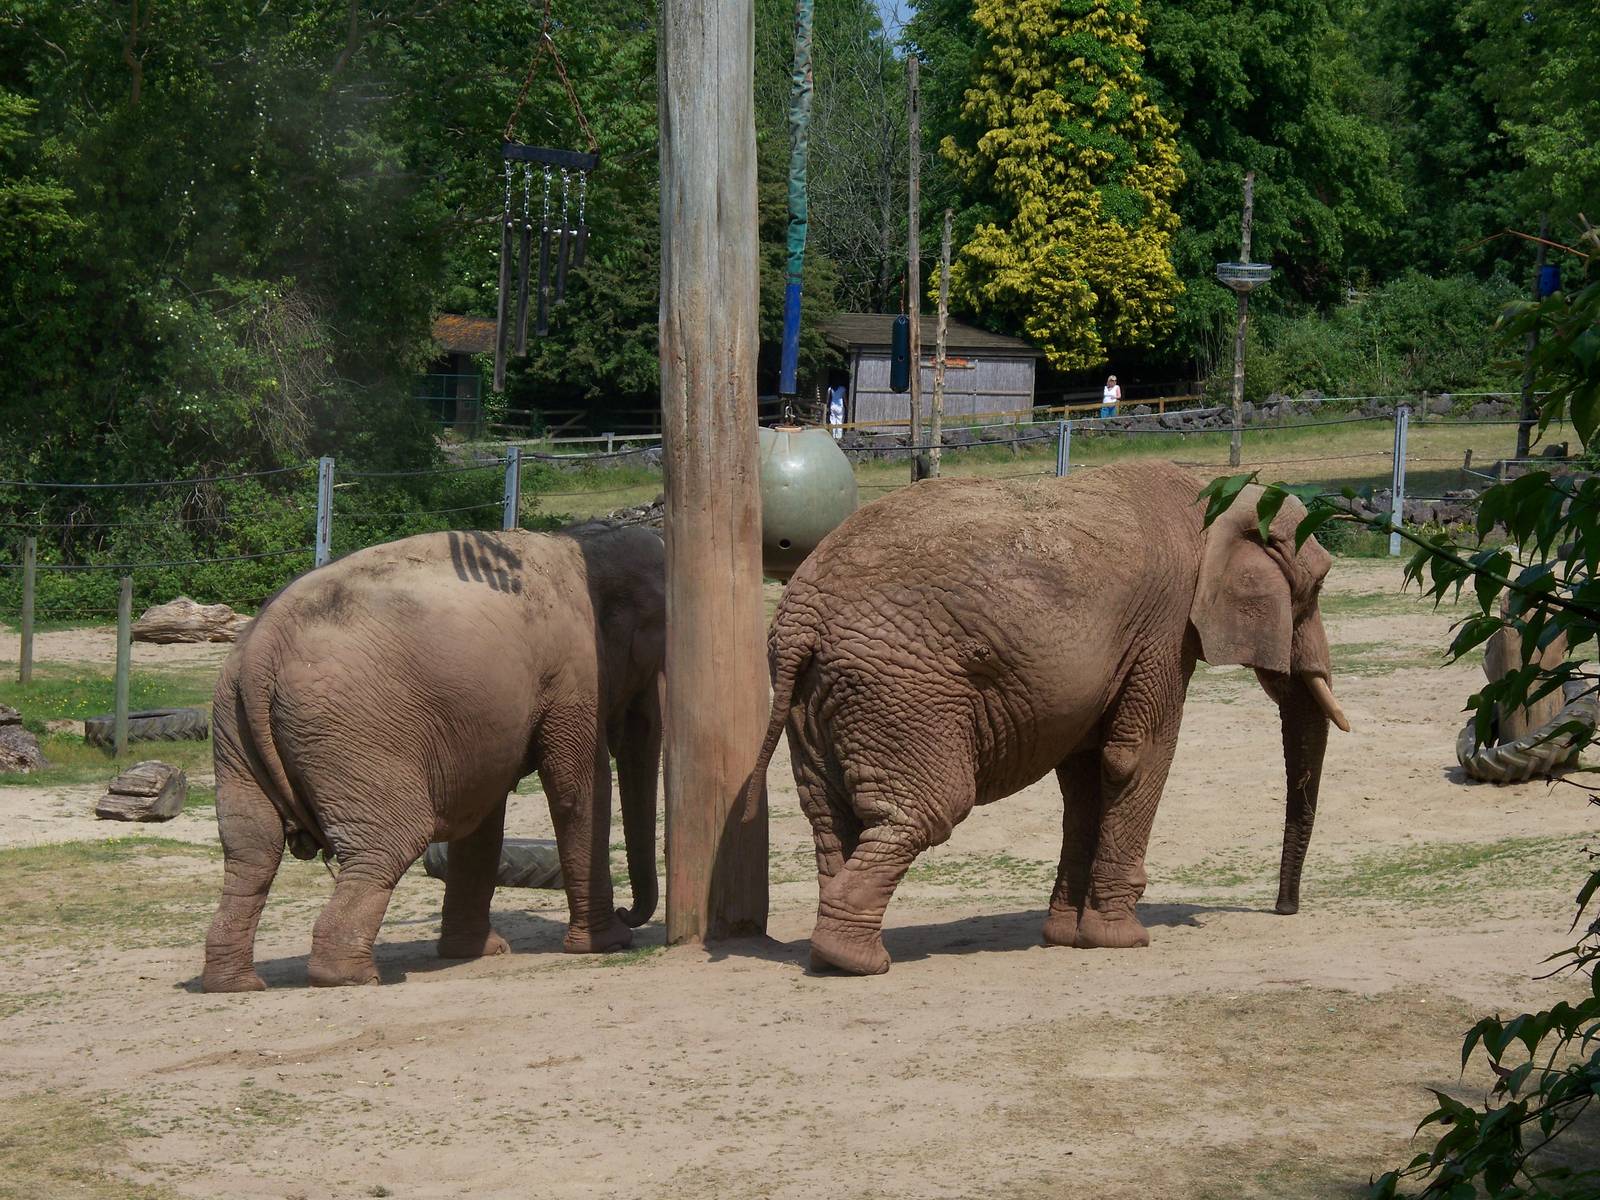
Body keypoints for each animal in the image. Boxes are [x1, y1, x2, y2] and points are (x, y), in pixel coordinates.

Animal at [201, 524, 664, 991]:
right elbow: (577, 790)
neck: (581, 545)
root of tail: (261, 649)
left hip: (232, 731)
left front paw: (479, 952)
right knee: (391, 841)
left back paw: (236, 983)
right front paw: (608, 943)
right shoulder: (573, 673)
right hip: (351, 733)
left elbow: (483, 819)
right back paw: (353, 977)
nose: (628, 913)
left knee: (251, 851)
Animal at [745, 461, 1349, 975]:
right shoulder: (1166, 624)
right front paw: (1121, 940)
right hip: (900, 690)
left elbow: (1084, 776)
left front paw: (1065, 937)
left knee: (828, 812)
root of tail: (800, 617)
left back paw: (832, 955)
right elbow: (1136, 756)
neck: (1221, 495)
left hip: (818, 695)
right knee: (927, 810)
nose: (1284, 910)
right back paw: (857, 961)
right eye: (1317, 586)